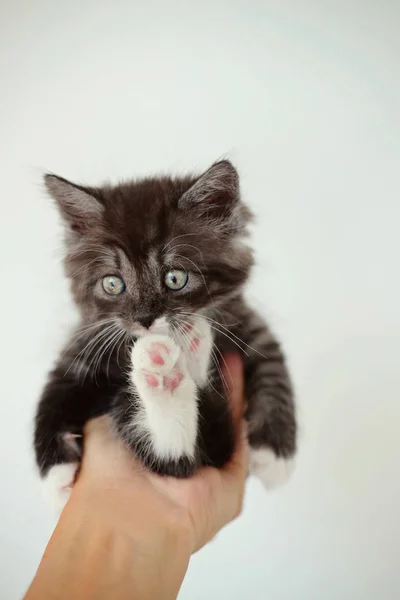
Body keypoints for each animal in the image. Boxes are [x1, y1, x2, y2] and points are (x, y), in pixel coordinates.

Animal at [35, 159, 296, 510]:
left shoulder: (248, 326)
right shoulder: (85, 343)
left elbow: (274, 372)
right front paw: (56, 477)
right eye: (113, 284)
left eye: (175, 278)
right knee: (174, 453)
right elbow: (52, 394)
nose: (145, 320)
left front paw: (274, 455)